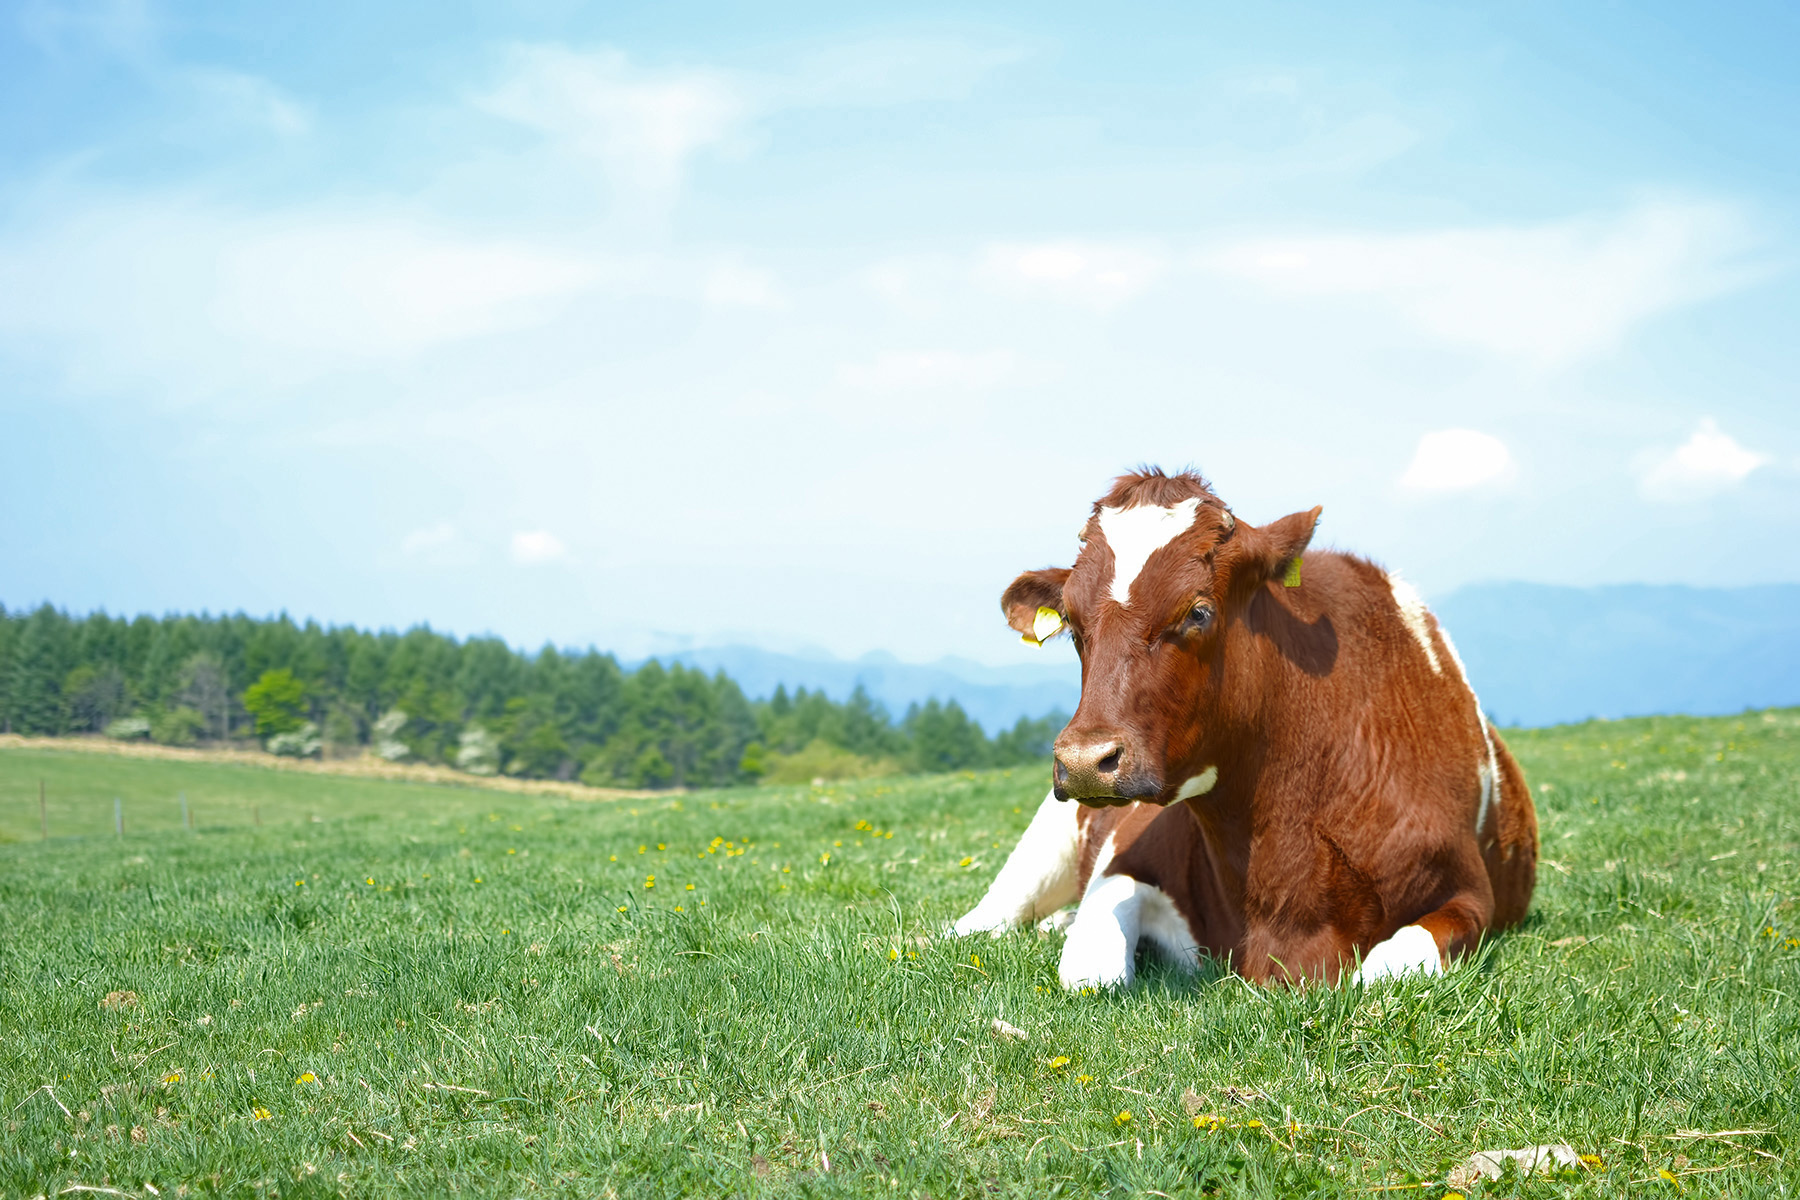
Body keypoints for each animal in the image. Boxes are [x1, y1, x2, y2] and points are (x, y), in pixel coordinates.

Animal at [950, 467, 1540, 985]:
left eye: (1198, 612)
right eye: (1072, 623)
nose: (1083, 761)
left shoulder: (1469, 894)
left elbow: (1383, 968)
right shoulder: (1125, 862)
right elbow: (1090, 970)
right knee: (981, 924)